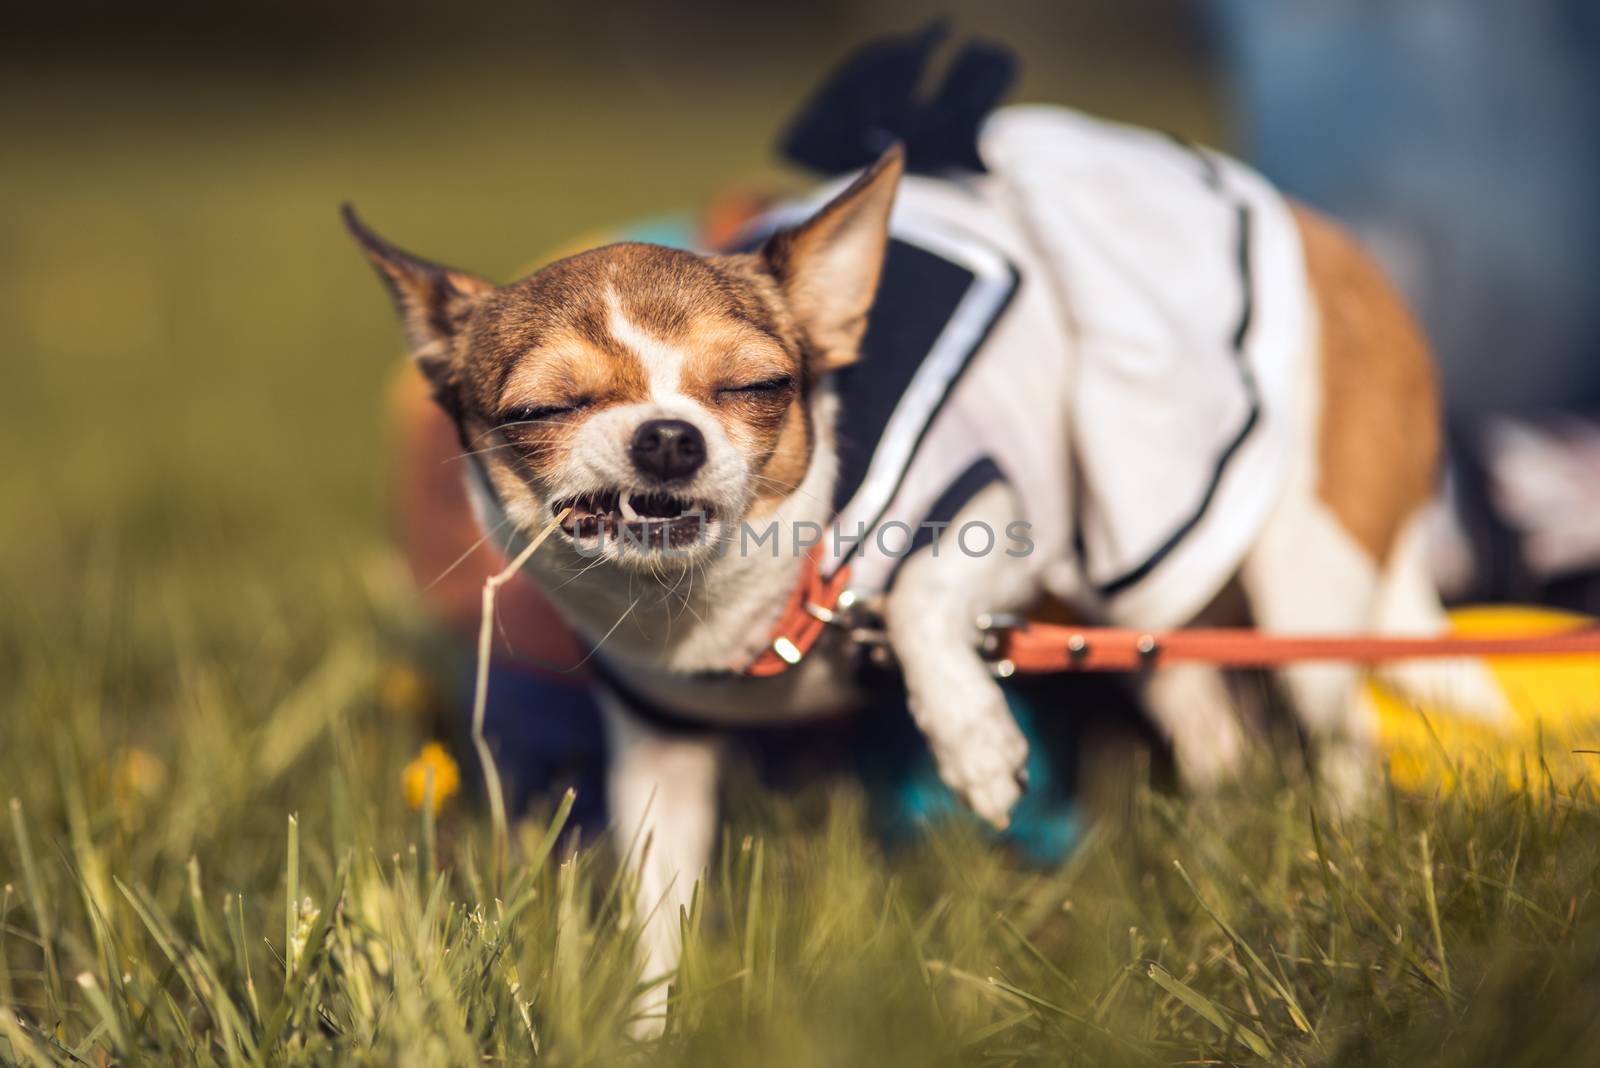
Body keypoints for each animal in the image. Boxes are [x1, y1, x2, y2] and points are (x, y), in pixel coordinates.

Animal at [347, 106, 1497, 1023]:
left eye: (758, 387)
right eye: (544, 409)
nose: (668, 438)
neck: (742, 613)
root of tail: (1321, 230)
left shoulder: (1002, 516)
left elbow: (920, 600)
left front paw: (975, 743)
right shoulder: (662, 757)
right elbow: (658, 909)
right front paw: (646, 1025)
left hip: (1301, 563)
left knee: (1337, 722)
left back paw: (1341, 846)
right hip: (1135, 613)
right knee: (1209, 723)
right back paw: (1221, 847)